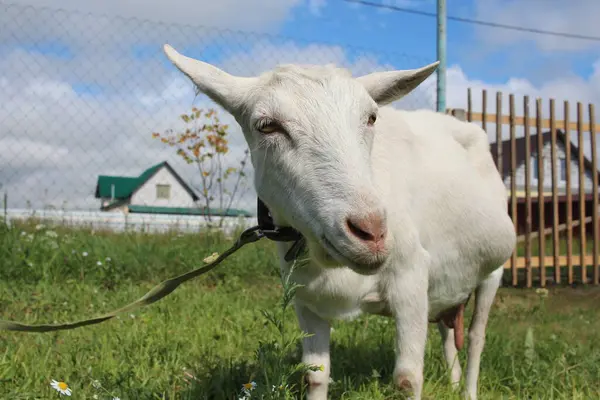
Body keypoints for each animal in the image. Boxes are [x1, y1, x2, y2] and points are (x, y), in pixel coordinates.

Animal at [163, 43, 516, 400]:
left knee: (476, 337)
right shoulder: (306, 299)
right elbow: (314, 376)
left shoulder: (411, 278)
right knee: (447, 329)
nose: (371, 232)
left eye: (371, 117)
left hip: (494, 271)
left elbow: (407, 379)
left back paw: (468, 389)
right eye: (267, 126)